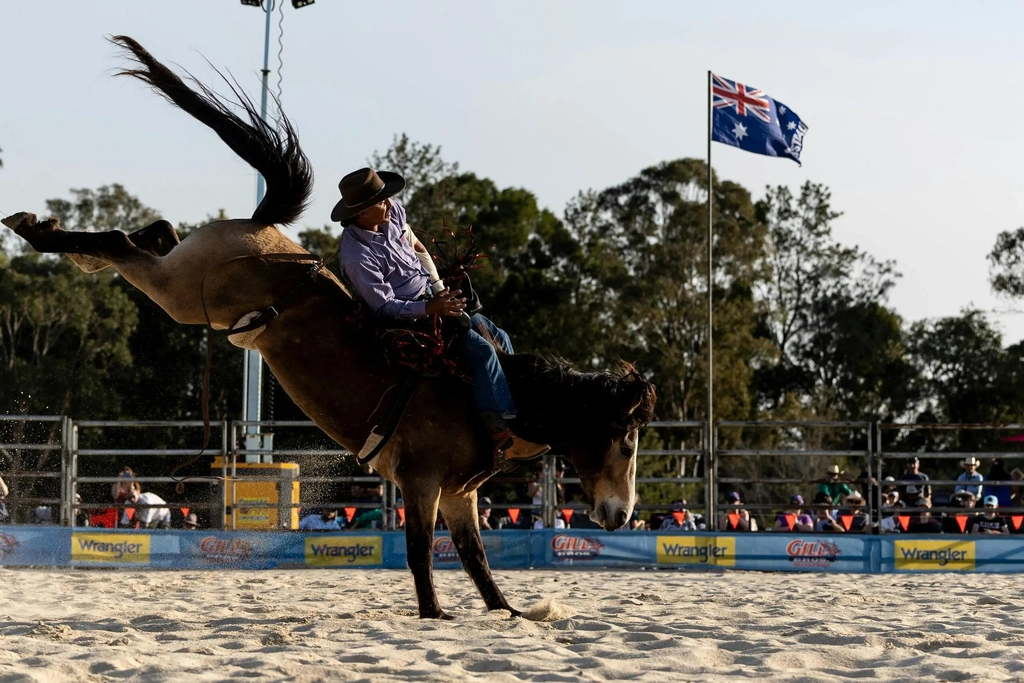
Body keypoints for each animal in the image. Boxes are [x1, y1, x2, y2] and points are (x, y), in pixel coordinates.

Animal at [4, 37, 659, 618]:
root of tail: (261, 228)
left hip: (182, 280)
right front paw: (434, 615)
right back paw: (36, 228)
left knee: (154, 234)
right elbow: (422, 555)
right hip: (183, 293)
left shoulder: (459, 493)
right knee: (122, 243)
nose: (621, 516)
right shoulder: (421, 482)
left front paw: (514, 613)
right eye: (627, 442)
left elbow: (477, 563)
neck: (489, 398)